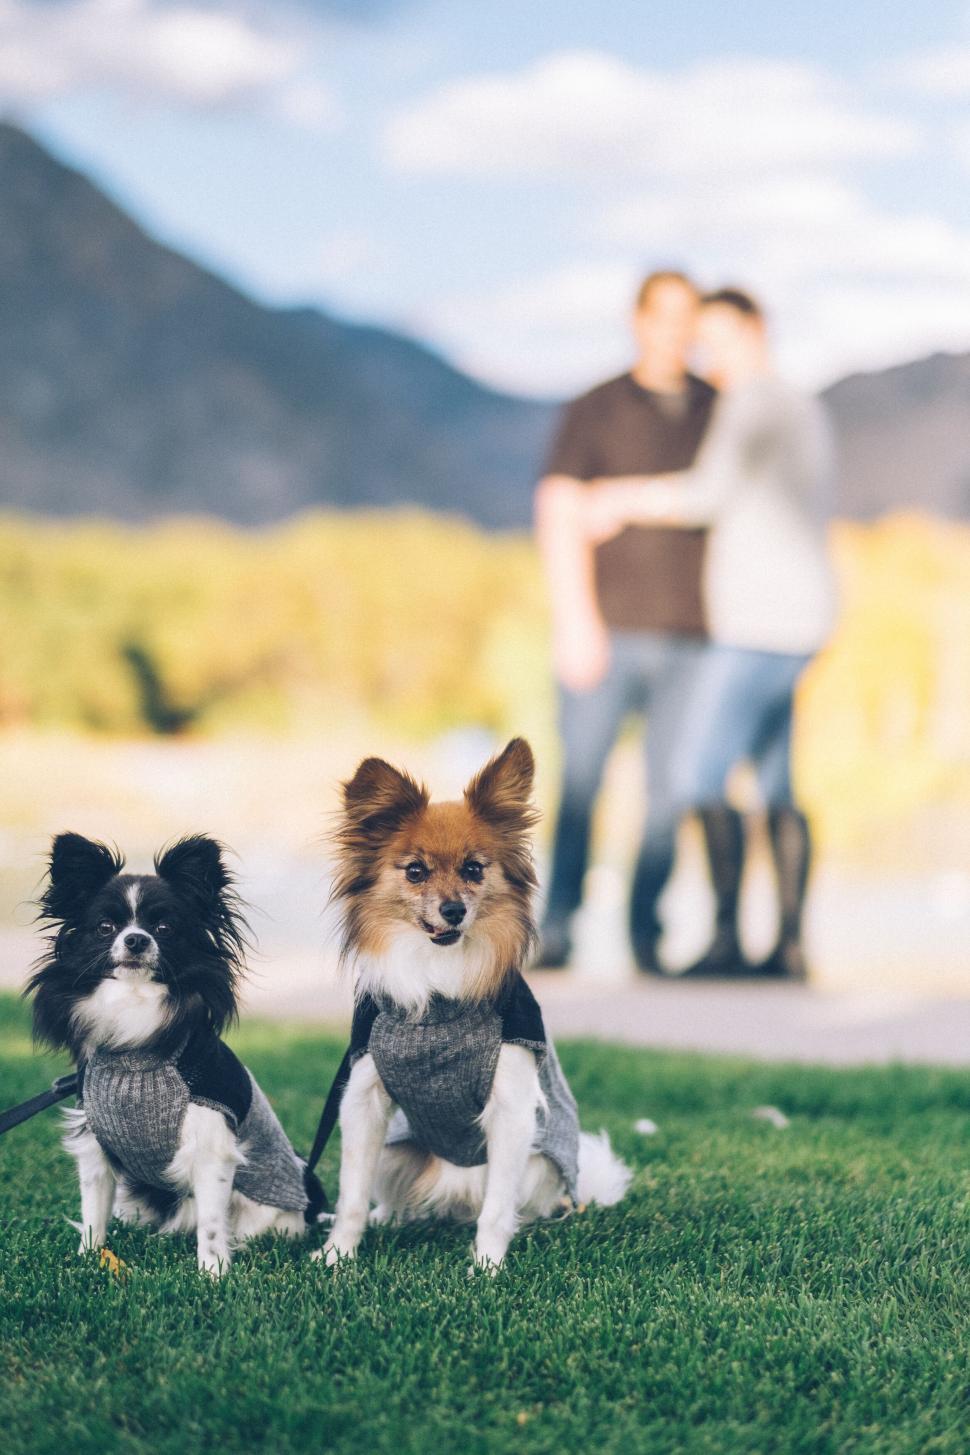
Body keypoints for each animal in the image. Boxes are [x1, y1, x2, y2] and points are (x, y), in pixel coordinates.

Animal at [24, 832, 322, 1274]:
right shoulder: (94, 1148)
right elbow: (93, 1212)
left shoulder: (211, 1148)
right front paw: (89, 1260)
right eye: (105, 927)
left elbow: (213, 1226)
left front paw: (213, 1274)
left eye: (164, 928)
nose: (135, 939)